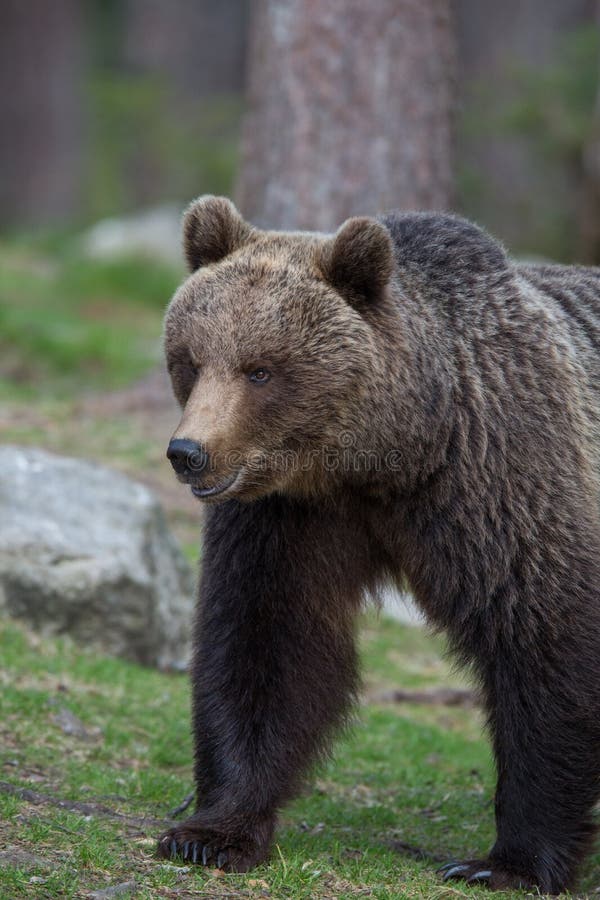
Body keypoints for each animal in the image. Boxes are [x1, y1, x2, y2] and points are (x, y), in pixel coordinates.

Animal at [158, 195, 600, 892]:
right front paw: (212, 832)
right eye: (191, 360)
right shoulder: (290, 518)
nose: (189, 453)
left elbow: (544, 641)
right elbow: (266, 643)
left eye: (260, 369)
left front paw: (507, 862)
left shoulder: (505, 479)